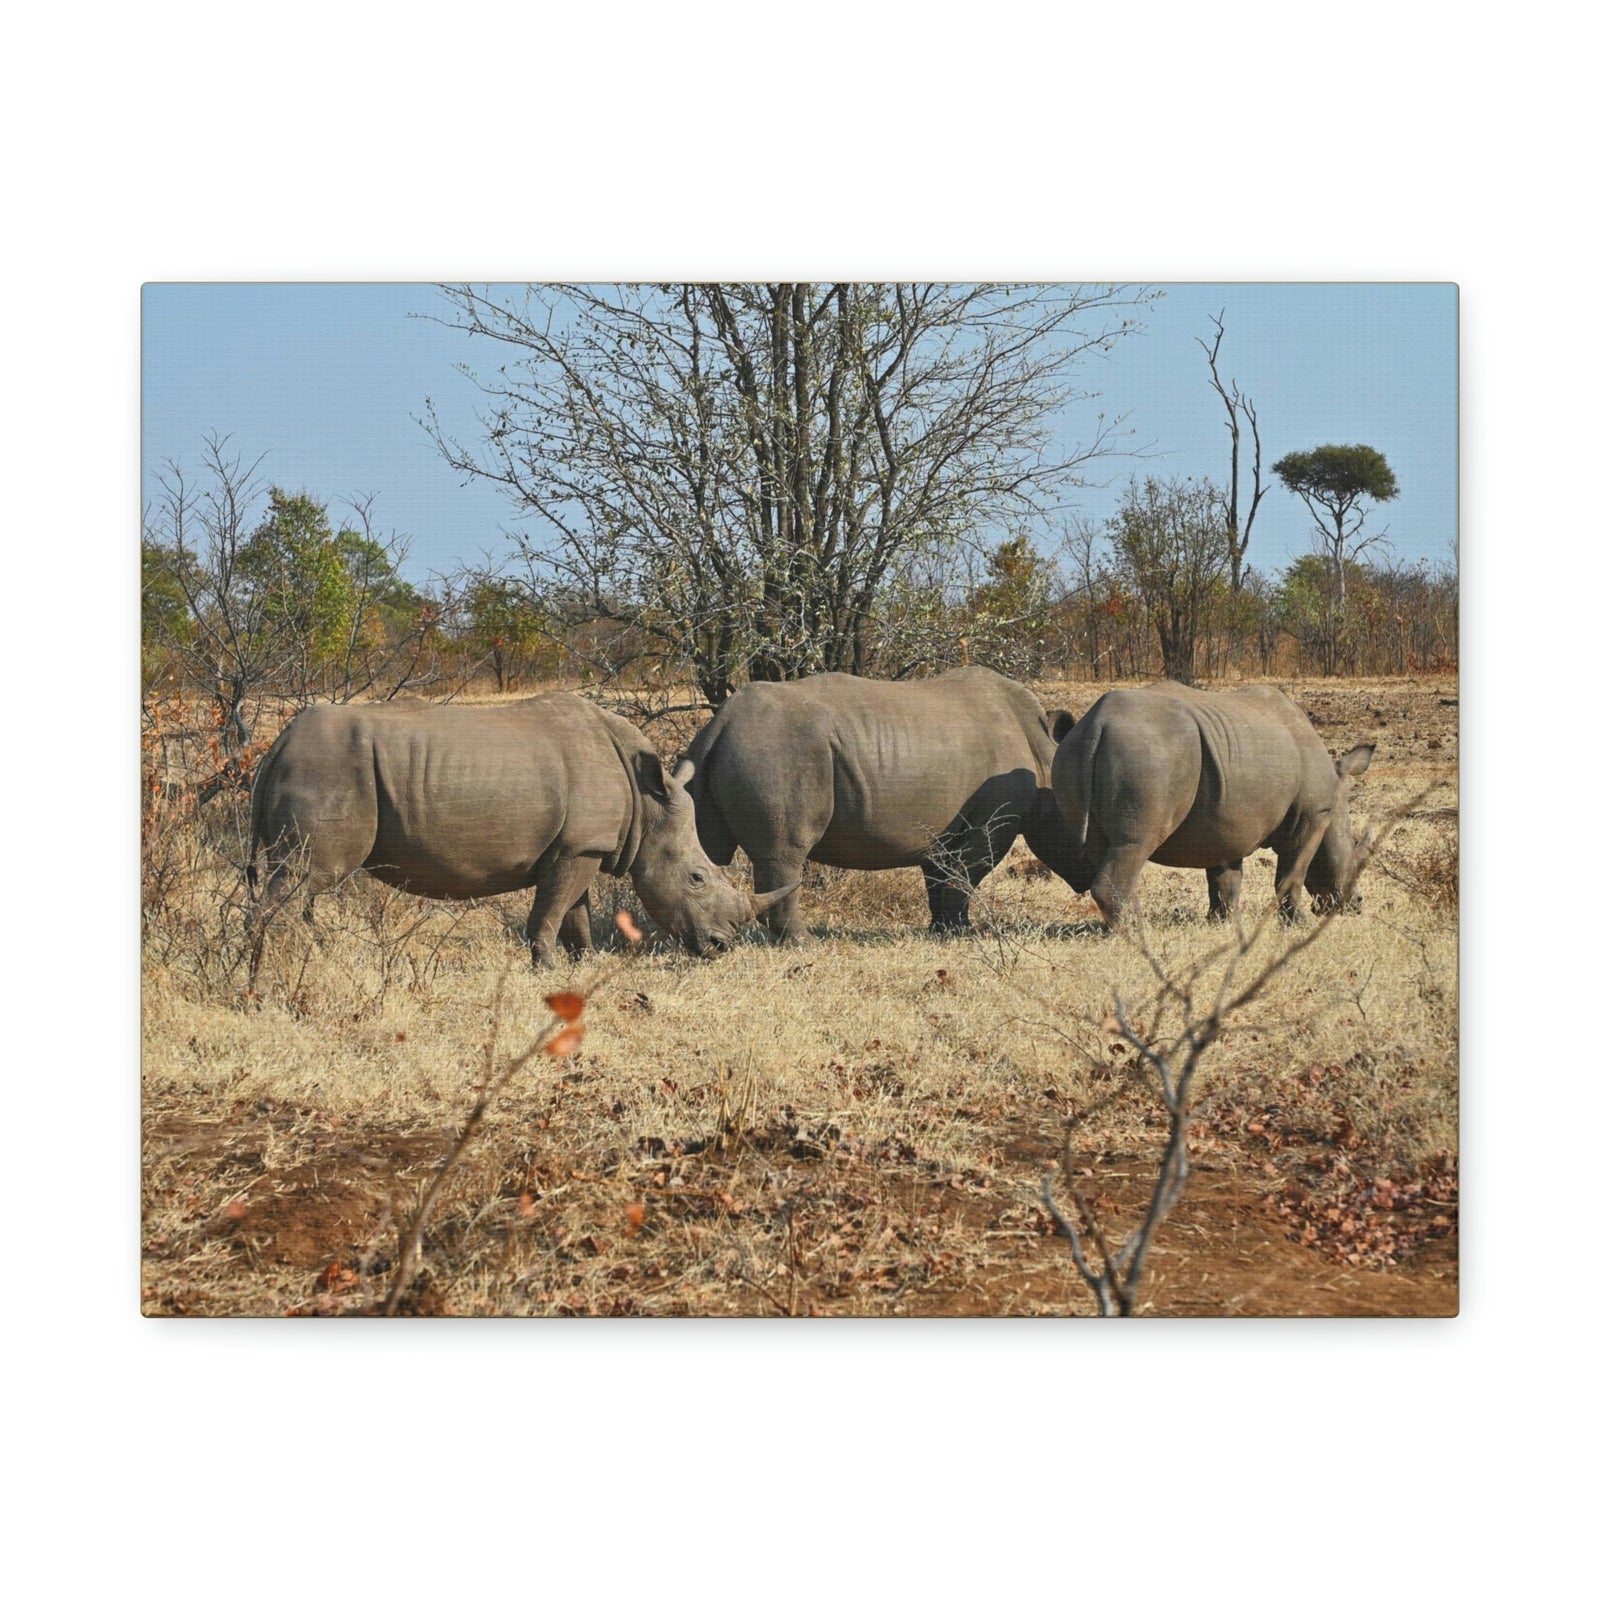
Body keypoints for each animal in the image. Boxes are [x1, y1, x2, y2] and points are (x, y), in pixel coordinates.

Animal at [247, 695, 790, 966]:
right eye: (697, 878)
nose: (721, 947)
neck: (647, 802)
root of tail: (277, 746)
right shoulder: (580, 848)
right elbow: (550, 912)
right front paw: (546, 967)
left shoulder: (581, 846)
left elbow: (575, 911)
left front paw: (584, 964)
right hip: (329, 769)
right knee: (305, 878)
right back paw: (285, 971)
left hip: (317, 767)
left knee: (302, 885)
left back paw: (311, 960)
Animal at [681, 667, 1081, 942]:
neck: (1044, 756)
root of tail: (722, 720)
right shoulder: (995, 819)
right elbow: (967, 871)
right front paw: (959, 933)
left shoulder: (941, 828)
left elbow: (940, 875)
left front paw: (940, 930)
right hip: (777, 750)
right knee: (784, 854)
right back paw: (803, 943)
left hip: (726, 751)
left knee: (708, 850)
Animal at [1049, 681, 1375, 927]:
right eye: (1356, 858)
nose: (1357, 904)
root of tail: (1097, 724)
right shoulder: (1312, 817)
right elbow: (1291, 874)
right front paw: (1298, 925)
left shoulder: (1227, 823)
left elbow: (1225, 878)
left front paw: (1224, 923)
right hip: (1147, 754)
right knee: (1134, 843)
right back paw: (1138, 933)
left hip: (1073, 753)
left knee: (1104, 847)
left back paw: (1124, 927)